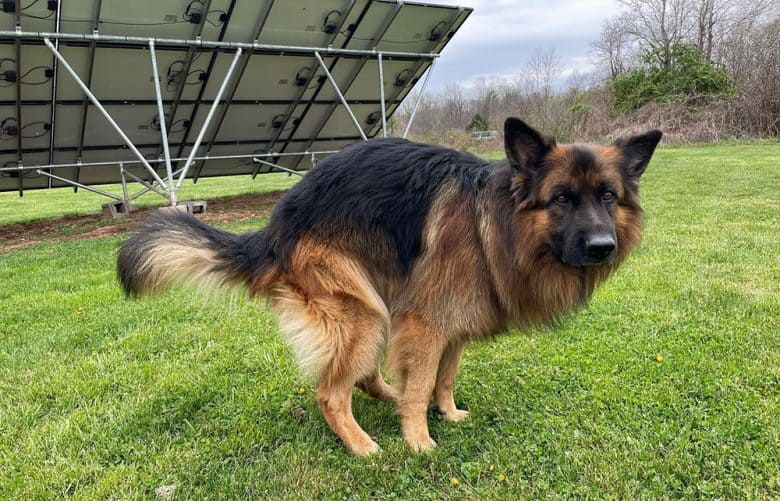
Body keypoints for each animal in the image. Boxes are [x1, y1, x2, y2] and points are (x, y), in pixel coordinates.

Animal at [119, 117, 660, 454]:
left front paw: (448, 413)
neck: (495, 221)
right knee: (331, 393)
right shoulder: (425, 323)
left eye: (608, 197)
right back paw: (361, 444)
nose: (602, 246)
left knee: (361, 376)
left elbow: (443, 378)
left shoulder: (453, 326)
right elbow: (421, 385)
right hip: (364, 312)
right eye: (561, 198)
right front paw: (419, 441)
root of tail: (272, 231)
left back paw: (387, 399)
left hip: (377, 308)